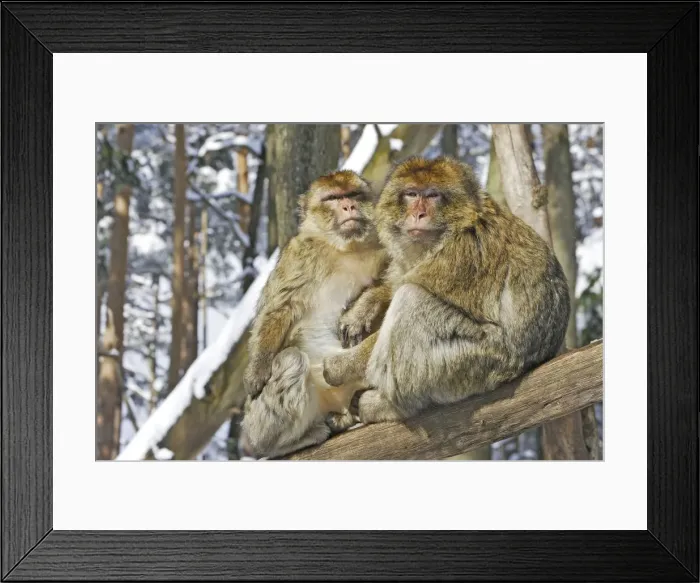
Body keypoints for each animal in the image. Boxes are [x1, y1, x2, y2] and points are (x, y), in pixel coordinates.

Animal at [238, 170, 390, 459]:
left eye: (353, 194)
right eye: (333, 198)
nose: (348, 206)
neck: (346, 249)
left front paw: (363, 308)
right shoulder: (299, 256)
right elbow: (278, 309)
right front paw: (256, 372)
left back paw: (345, 419)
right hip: (258, 425)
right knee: (291, 360)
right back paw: (279, 445)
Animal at [321, 155, 570, 424]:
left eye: (432, 195)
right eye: (411, 193)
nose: (418, 213)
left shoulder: (459, 257)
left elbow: (411, 290)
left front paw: (341, 365)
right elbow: (400, 280)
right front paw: (365, 306)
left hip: (475, 364)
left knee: (412, 301)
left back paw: (391, 406)